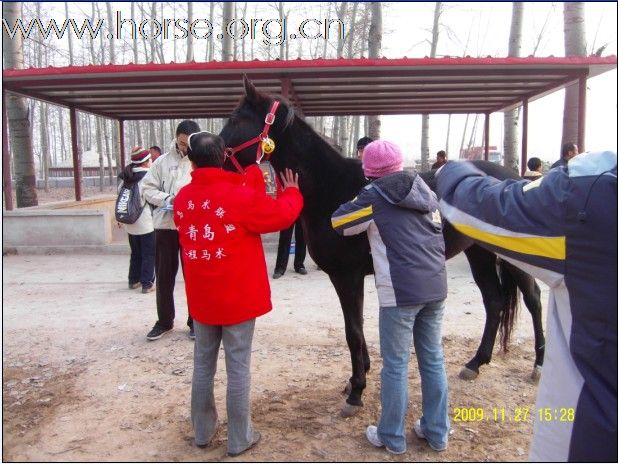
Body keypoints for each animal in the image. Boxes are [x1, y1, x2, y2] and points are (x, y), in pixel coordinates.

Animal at [218, 77, 544, 416]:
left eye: (237, 119)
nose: (210, 151)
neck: (332, 188)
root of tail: (513, 176)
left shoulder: (347, 276)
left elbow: (353, 330)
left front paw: (356, 392)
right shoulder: (345, 277)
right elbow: (355, 328)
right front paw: (355, 378)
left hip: (511, 258)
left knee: (533, 299)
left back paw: (537, 365)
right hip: (478, 253)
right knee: (494, 301)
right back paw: (475, 363)